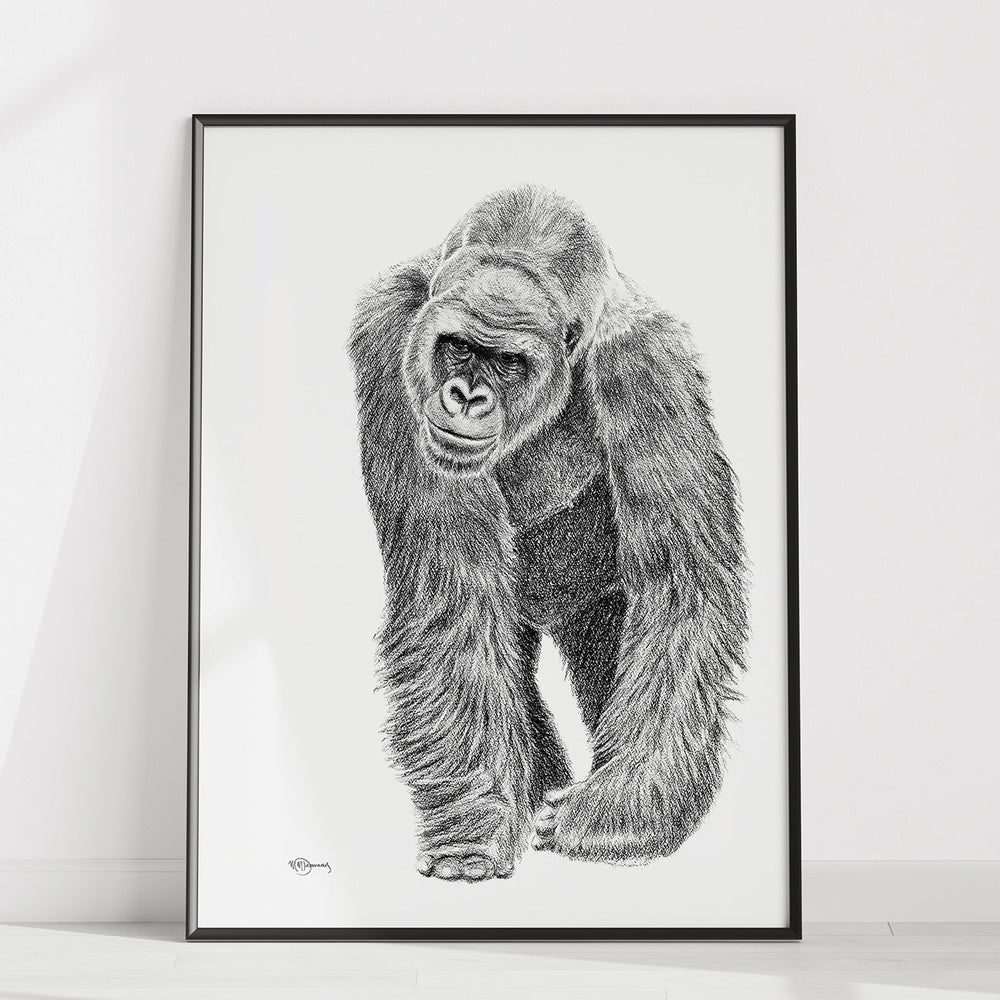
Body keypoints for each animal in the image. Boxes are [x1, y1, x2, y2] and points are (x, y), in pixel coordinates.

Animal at [349, 184, 746, 882]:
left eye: (508, 361)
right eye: (459, 346)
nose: (464, 396)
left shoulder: (649, 368)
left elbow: (677, 589)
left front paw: (619, 817)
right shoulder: (391, 330)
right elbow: (456, 598)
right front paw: (476, 824)